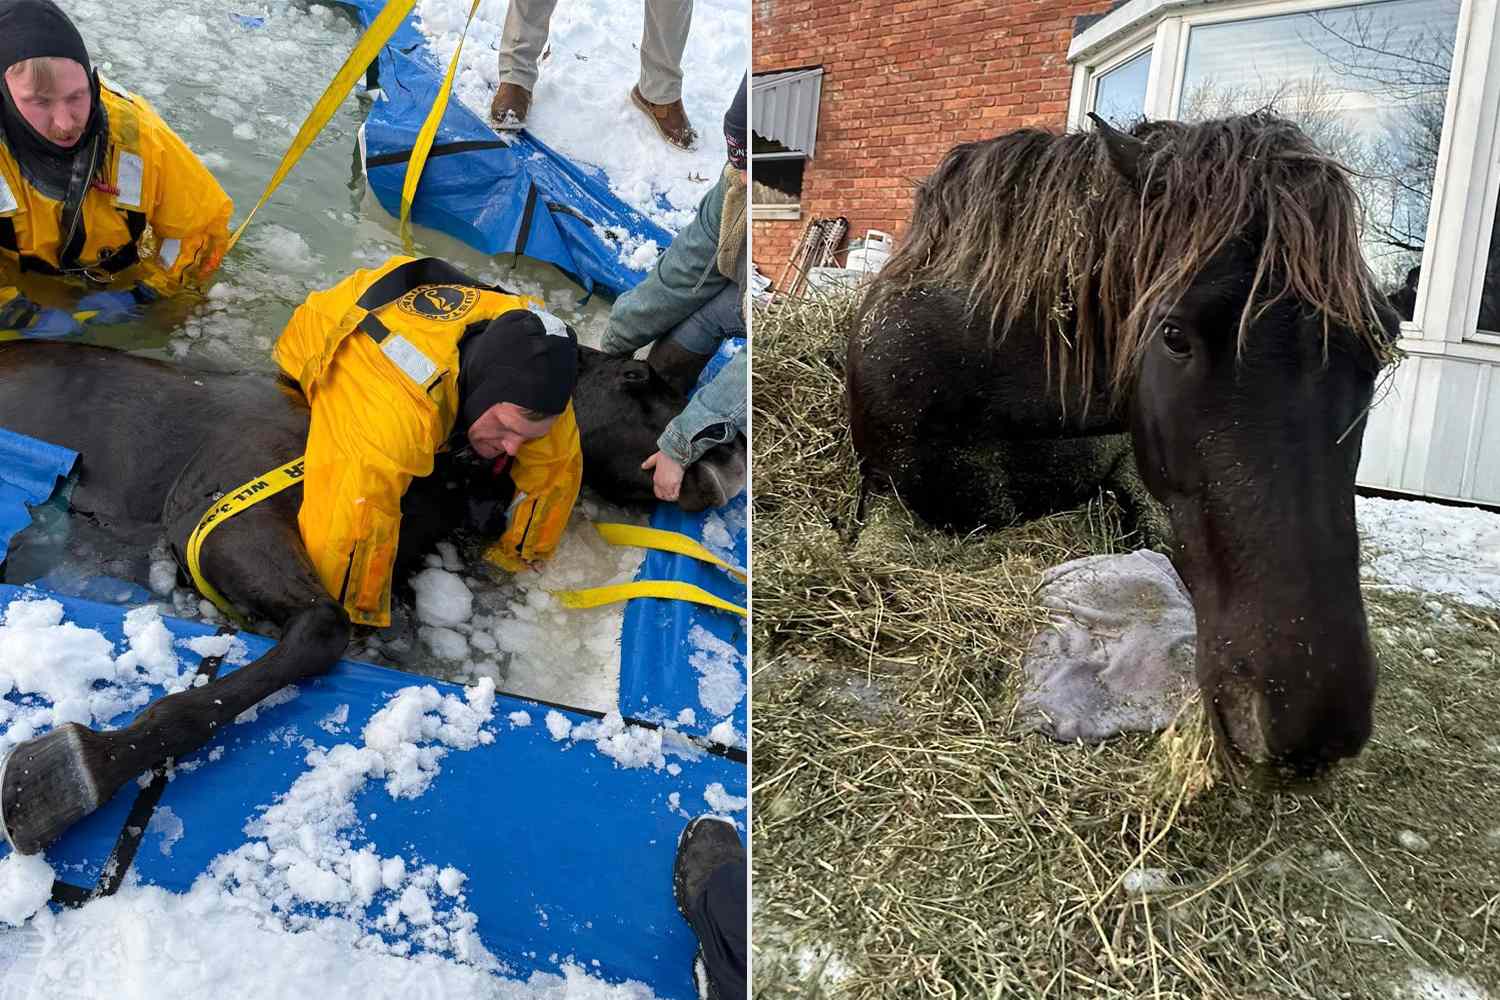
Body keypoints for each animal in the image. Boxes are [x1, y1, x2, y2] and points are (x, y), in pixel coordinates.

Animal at [0, 339, 745, 853]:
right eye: (636, 379)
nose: (730, 453)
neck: (439, 476)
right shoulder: (214, 520)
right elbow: (321, 628)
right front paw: (78, 769)